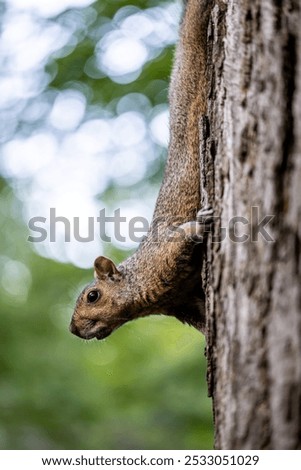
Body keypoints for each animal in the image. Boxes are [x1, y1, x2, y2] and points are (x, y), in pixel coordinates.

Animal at [69, 0, 212, 342]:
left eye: (93, 296)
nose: (74, 329)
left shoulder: (162, 256)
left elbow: (185, 234)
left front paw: (202, 222)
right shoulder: (185, 303)